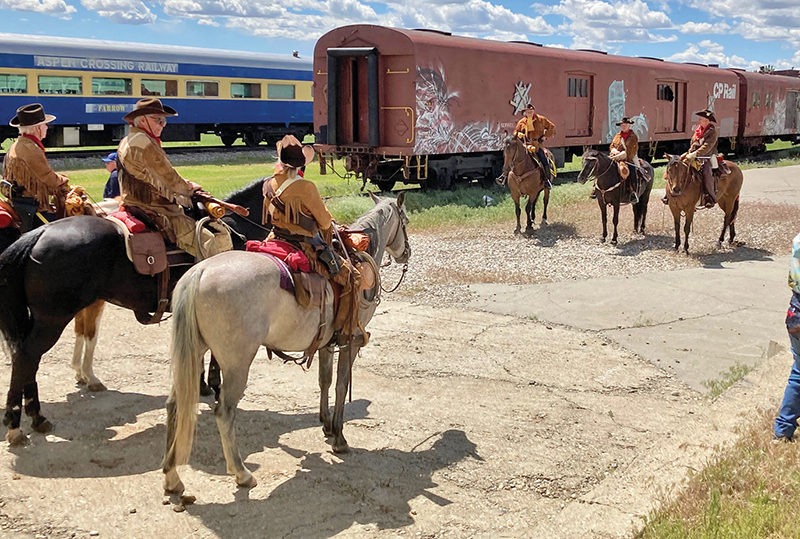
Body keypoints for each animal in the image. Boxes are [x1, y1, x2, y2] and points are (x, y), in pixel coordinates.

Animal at [0, 179, 267, 446]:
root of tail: (39, 234)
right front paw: (213, 386)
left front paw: (202, 385)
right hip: (52, 320)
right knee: (26, 357)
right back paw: (18, 425)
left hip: (38, 319)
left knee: (28, 359)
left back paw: (37, 417)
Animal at [163, 192, 411, 494]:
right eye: (405, 221)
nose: (406, 254)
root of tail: (199, 272)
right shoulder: (350, 342)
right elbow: (341, 385)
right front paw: (339, 438)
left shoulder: (327, 342)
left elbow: (324, 380)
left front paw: (326, 424)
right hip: (236, 365)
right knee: (224, 412)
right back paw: (242, 473)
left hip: (194, 353)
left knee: (176, 405)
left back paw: (173, 479)